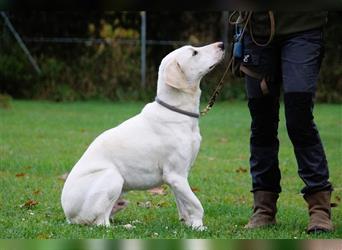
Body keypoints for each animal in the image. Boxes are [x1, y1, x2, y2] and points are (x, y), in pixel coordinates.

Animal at [61, 41, 226, 230]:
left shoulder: (179, 177)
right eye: (194, 53)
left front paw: (189, 224)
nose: (222, 44)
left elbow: (184, 204)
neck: (177, 111)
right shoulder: (175, 175)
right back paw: (127, 227)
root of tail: (68, 216)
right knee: (101, 223)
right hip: (113, 177)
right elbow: (196, 204)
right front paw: (199, 227)